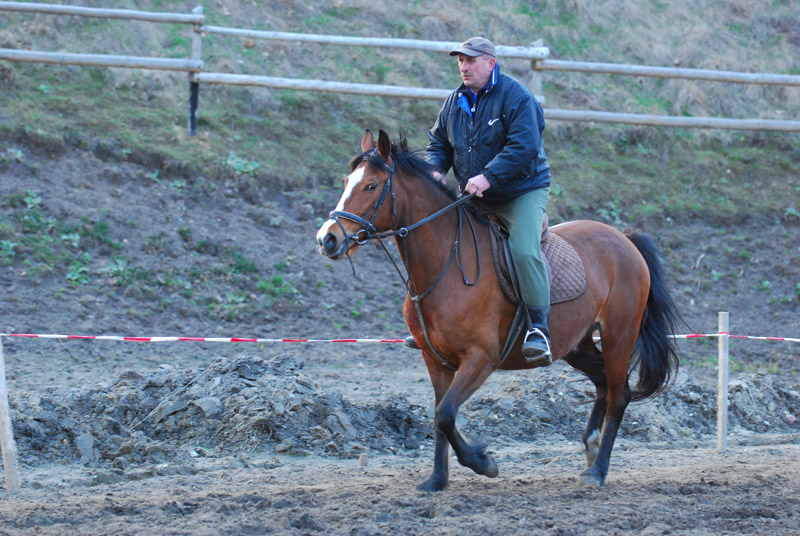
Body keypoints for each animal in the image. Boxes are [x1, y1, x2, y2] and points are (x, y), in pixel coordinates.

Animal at [316, 129, 680, 490]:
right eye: (347, 181)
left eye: (371, 186)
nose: (327, 239)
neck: (446, 265)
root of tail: (625, 239)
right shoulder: (435, 360)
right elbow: (439, 415)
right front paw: (436, 480)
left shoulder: (481, 358)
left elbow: (445, 414)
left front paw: (482, 462)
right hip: (577, 344)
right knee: (603, 383)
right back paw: (590, 447)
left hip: (620, 337)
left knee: (620, 395)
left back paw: (597, 471)